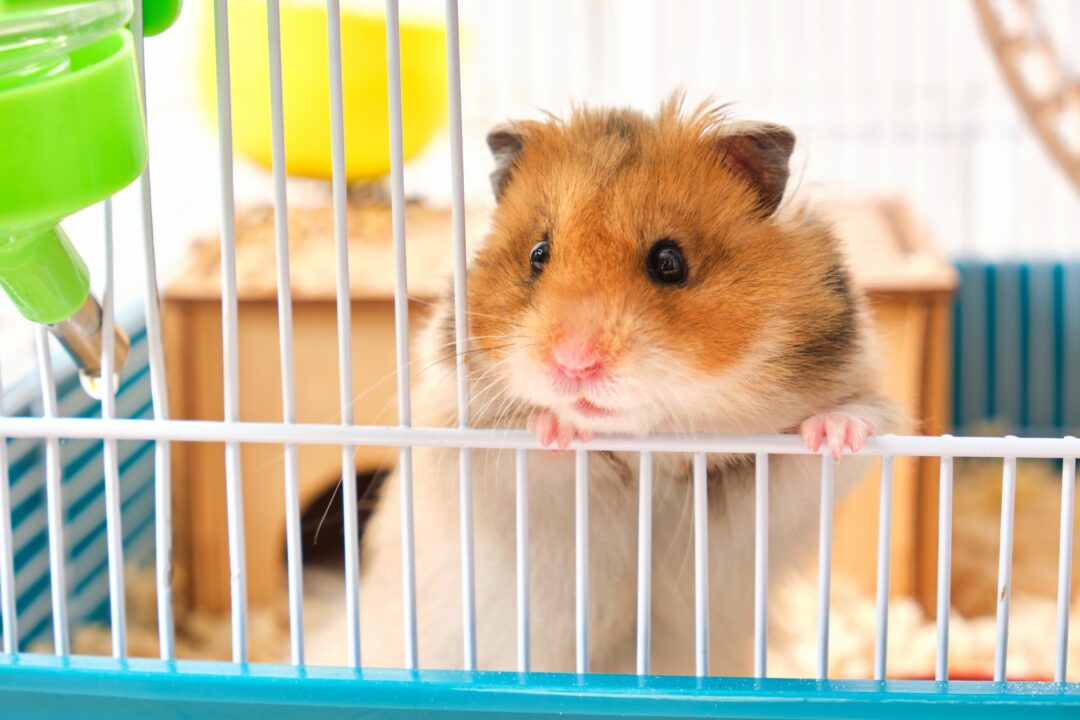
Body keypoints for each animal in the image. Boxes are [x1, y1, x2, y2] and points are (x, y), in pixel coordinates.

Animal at [355, 97, 901, 676]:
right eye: (538, 254)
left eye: (669, 261)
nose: (574, 363)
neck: (646, 455)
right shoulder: (478, 458)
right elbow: (536, 457)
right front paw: (556, 428)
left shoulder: (759, 496)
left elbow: (818, 442)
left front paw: (835, 435)